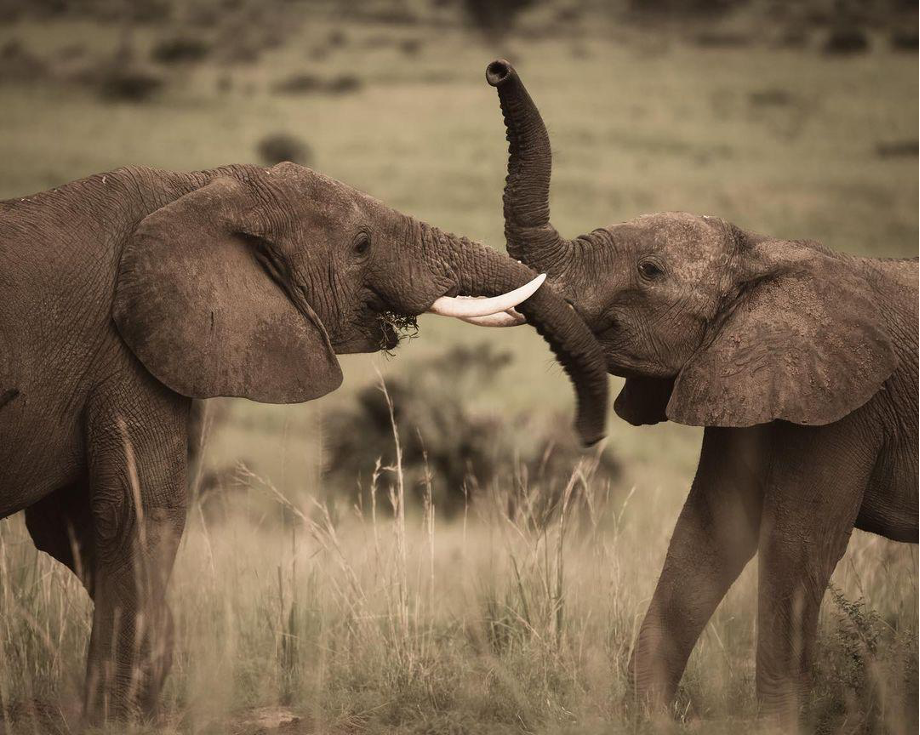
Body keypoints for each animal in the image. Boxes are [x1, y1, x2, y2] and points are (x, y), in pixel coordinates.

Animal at [0, 162, 612, 724]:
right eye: (361, 245)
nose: (588, 436)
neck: (196, 186)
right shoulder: (124, 353)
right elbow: (135, 515)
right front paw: (122, 717)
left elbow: (66, 527)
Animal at [486, 60, 916, 728]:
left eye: (650, 271)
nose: (496, 69)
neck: (761, 251)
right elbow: (708, 533)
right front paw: (651, 721)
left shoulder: (850, 405)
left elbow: (795, 552)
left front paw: (775, 728)